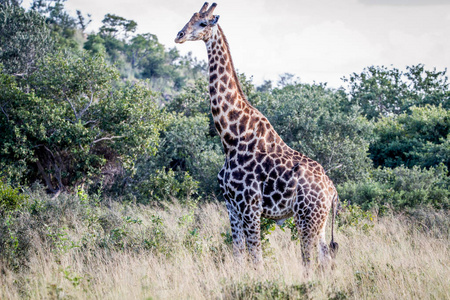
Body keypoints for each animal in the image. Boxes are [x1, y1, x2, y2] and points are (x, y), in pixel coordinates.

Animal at [176, 2, 338, 270]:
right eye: (190, 18)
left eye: (203, 22)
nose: (179, 35)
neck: (231, 136)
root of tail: (332, 191)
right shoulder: (231, 205)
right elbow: (239, 254)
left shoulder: (250, 205)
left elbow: (256, 258)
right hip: (320, 221)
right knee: (325, 258)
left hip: (307, 218)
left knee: (308, 261)